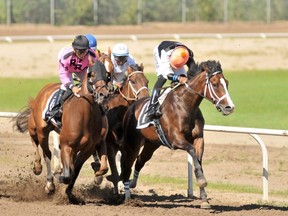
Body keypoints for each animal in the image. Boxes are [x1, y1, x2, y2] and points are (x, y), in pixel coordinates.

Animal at [13, 61, 111, 204]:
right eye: (92, 74)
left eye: (107, 75)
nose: (104, 94)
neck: (86, 113)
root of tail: (46, 88)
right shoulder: (66, 146)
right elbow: (68, 174)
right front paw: (60, 178)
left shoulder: (91, 146)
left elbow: (83, 169)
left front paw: (71, 194)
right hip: (39, 129)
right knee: (43, 150)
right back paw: (44, 177)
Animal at [93, 63, 150, 193]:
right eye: (133, 81)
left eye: (147, 81)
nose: (145, 97)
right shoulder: (110, 145)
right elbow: (115, 173)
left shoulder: (127, 147)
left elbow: (125, 169)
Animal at [120, 60, 235, 208]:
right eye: (215, 84)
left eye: (226, 83)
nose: (229, 107)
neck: (185, 105)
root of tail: (132, 106)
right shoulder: (176, 140)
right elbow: (191, 151)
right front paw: (202, 181)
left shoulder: (199, 139)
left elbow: (198, 163)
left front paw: (204, 199)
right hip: (132, 144)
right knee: (127, 165)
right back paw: (128, 197)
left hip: (152, 144)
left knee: (140, 160)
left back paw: (133, 184)